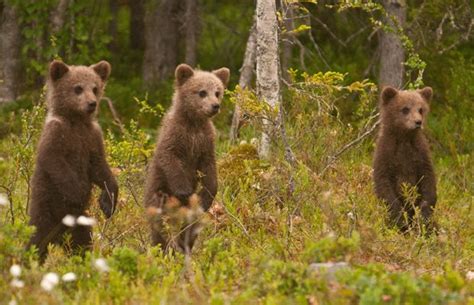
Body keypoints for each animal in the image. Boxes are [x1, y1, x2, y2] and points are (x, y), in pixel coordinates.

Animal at [27, 60, 118, 262]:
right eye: (77, 88)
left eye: (95, 88)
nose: (91, 103)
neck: (76, 121)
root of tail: (58, 238)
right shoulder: (57, 135)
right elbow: (55, 162)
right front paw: (79, 193)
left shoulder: (92, 137)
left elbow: (100, 168)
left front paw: (108, 202)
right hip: (44, 214)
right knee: (35, 242)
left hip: (80, 226)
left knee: (82, 245)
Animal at [144, 63, 230, 252]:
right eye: (202, 92)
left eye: (218, 91)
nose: (215, 106)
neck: (193, 123)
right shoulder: (175, 137)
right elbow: (169, 159)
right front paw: (184, 190)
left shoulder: (205, 143)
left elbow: (210, 172)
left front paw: (208, 193)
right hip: (158, 197)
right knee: (160, 227)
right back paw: (163, 247)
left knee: (190, 228)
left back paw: (184, 246)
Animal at [374, 86, 436, 232]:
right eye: (405, 109)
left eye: (421, 109)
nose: (418, 122)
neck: (405, 138)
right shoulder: (386, 155)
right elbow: (384, 185)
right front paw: (400, 218)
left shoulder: (420, 155)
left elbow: (428, 180)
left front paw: (423, 215)